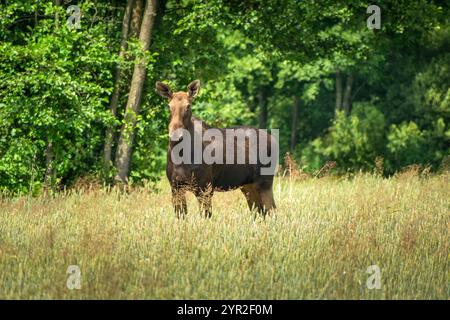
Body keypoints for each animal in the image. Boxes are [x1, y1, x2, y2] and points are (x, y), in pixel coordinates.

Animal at [156, 79, 278, 218]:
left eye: (188, 106)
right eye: (169, 106)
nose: (175, 134)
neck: (180, 155)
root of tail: (274, 139)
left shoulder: (205, 187)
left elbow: (205, 216)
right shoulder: (175, 187)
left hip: (265, 182)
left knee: (272, 211)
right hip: (248, 185)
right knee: (259, 212)